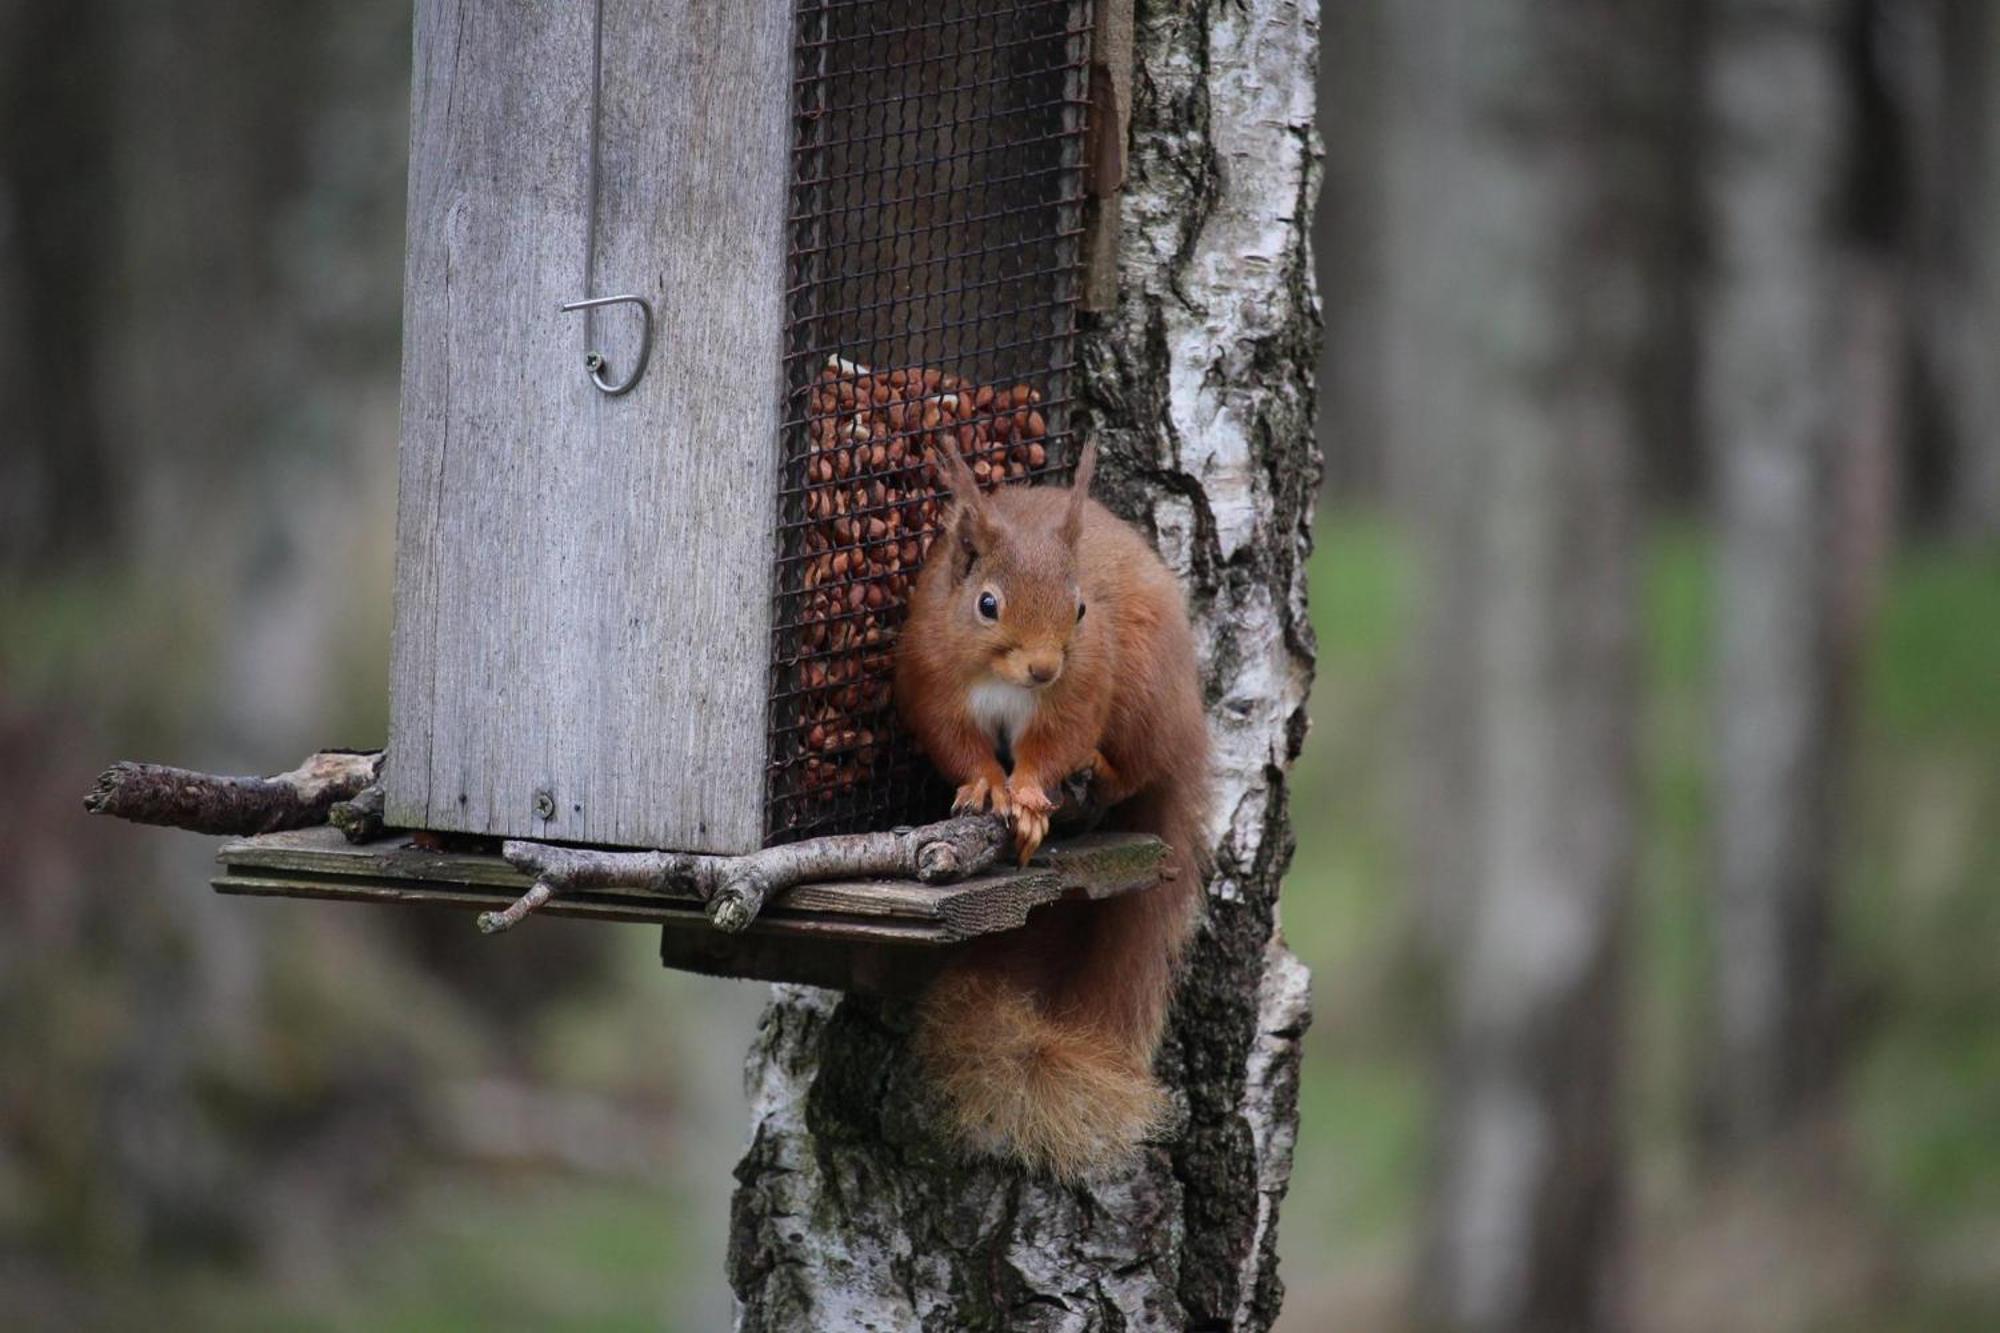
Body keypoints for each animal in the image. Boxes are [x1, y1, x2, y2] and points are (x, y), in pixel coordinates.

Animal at [896, 436, 1208, 1176]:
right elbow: (961, 747)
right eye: (987, 604)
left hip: (1143, 689)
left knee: (1134, 769)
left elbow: (1053, 744)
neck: (1004, 682)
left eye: (1081, 608)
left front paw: (1033, 800)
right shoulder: (933, 682)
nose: (1043, 667)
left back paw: (1100, 772)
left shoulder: (1080, 685)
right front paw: (987, 788)